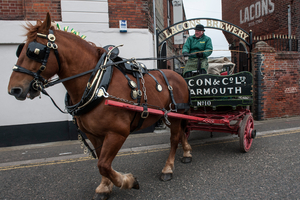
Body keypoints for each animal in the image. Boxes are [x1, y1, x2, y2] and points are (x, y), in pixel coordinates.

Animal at [7, 13, 192, 199]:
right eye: (19, 50)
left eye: (34, 51)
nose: (14, 89)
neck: (98, 85)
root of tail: (178, 75)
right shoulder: (93, 133)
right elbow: (101, 161)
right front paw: (105, 187)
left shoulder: (117, 132)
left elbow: (103, 164)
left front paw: (128, 181)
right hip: (174, 115)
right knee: (181, 133)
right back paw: (186, 152)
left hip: (177, 113)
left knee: (174, 138)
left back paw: (168, 168)